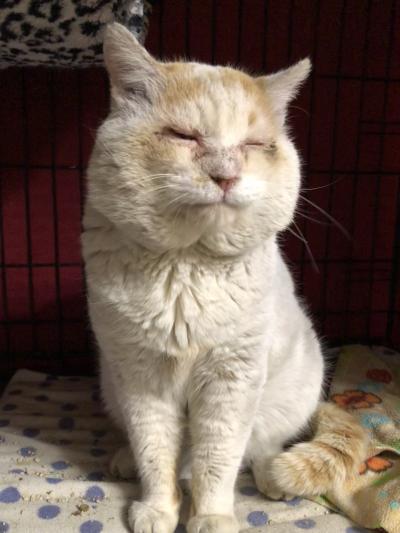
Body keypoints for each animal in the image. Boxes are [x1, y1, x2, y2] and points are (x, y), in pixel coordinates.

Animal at [82, 22, 368, 532]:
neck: (186, 266)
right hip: (112, 386)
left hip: (291, 388)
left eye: (254, 145)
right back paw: (123, 460)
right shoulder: (141, 378)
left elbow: (217, 458)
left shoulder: (232, 379)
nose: (226, 175)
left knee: (260, 448)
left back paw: (273, 478)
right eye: (183, 136)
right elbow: (156, 453)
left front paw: (211, 516)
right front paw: (158, 509)